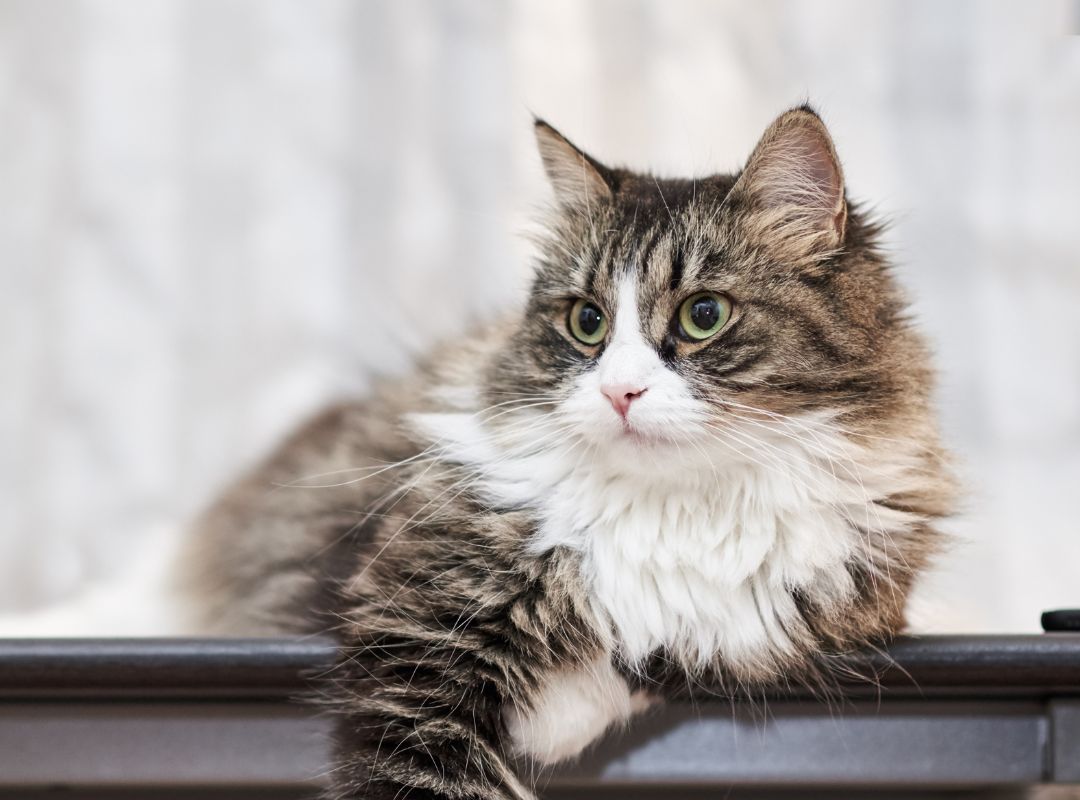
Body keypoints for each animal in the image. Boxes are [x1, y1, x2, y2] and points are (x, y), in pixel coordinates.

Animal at [174, 107, 954, 798]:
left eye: (703, 316)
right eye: (587, 322)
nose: (619, 392)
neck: (670, 510)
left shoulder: (813, 609)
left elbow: (658, 658)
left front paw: (555, 719)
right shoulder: (419, 633)